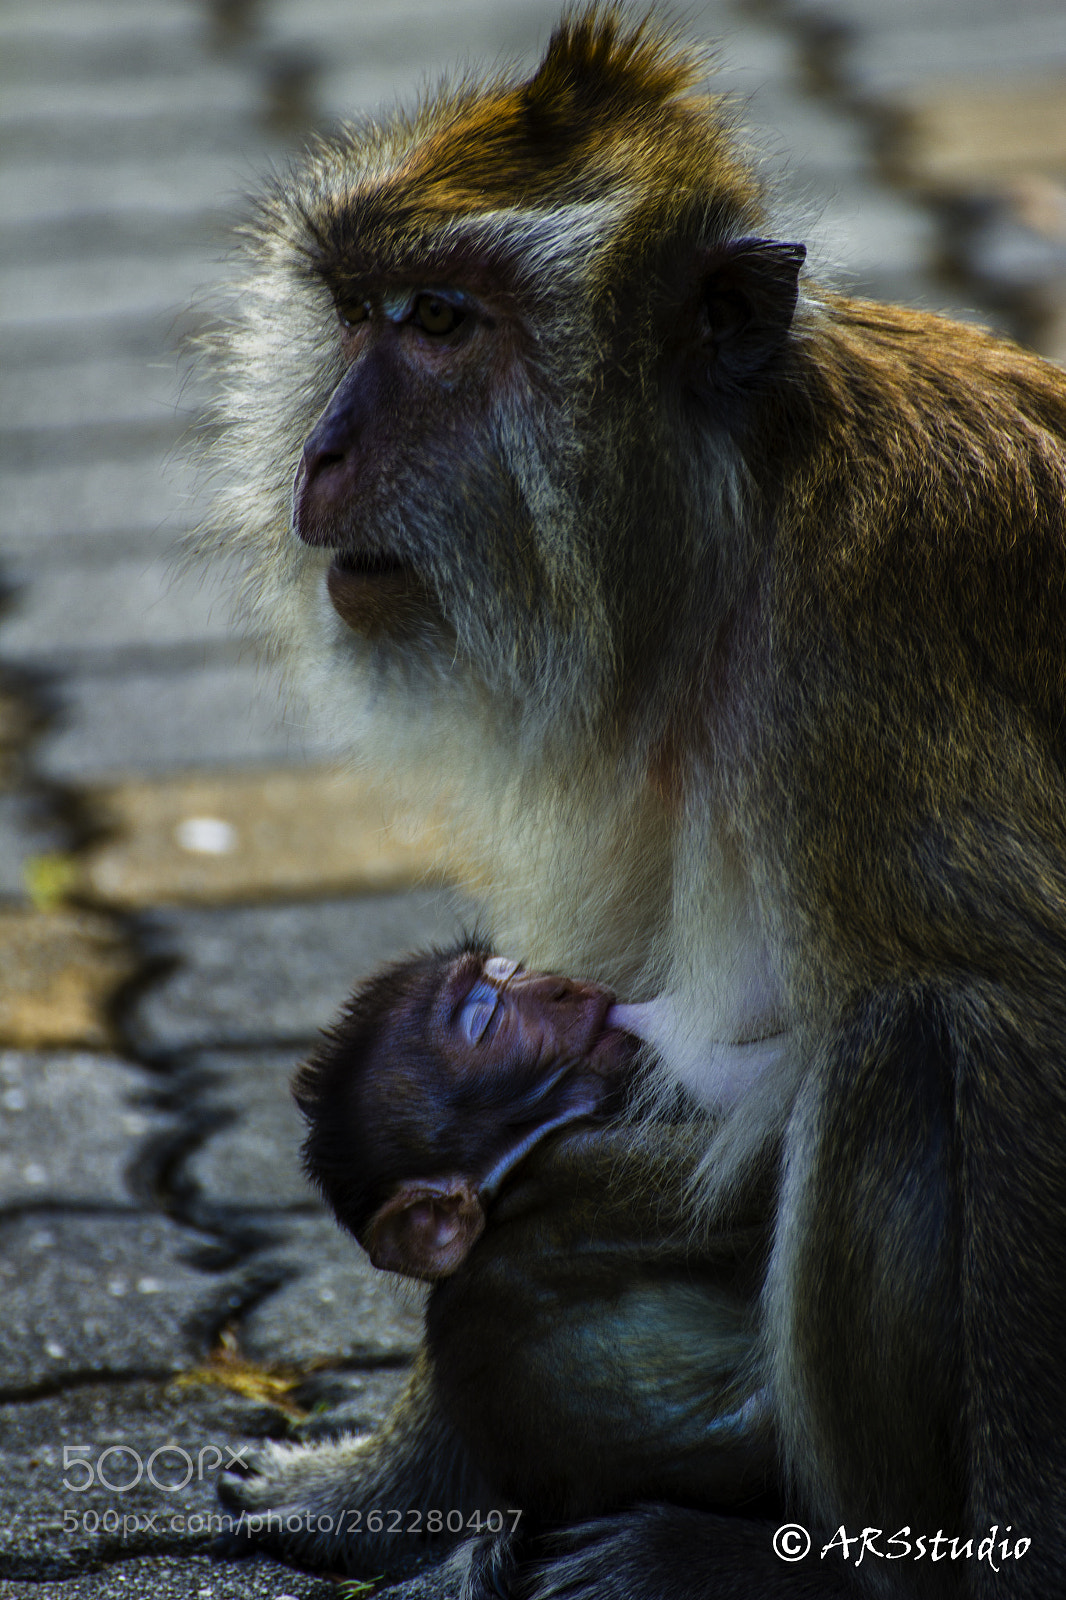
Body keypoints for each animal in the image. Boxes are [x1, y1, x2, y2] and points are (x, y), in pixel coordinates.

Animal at [201, 6, 1066, 1596]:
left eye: (442, 324)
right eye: (362, 314)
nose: (319, 451)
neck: (744, 511)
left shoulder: (851, 674)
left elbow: (1011, 1007)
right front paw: (382, 1484)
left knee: (905, 1039)